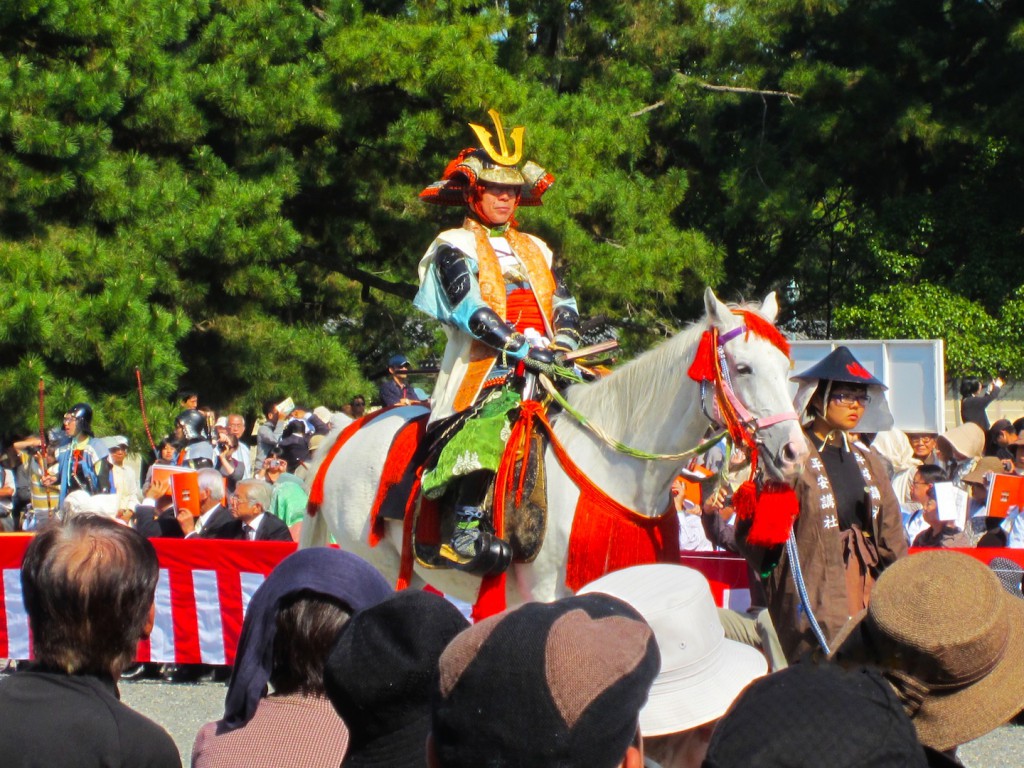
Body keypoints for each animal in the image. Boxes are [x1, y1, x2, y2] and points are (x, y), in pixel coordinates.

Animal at [299, 288, 811, 606]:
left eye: (787, 367)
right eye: (743, 368)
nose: (795, 453)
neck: (614, 469)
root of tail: (351, 430)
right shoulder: (546, 594)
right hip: (375, 564)